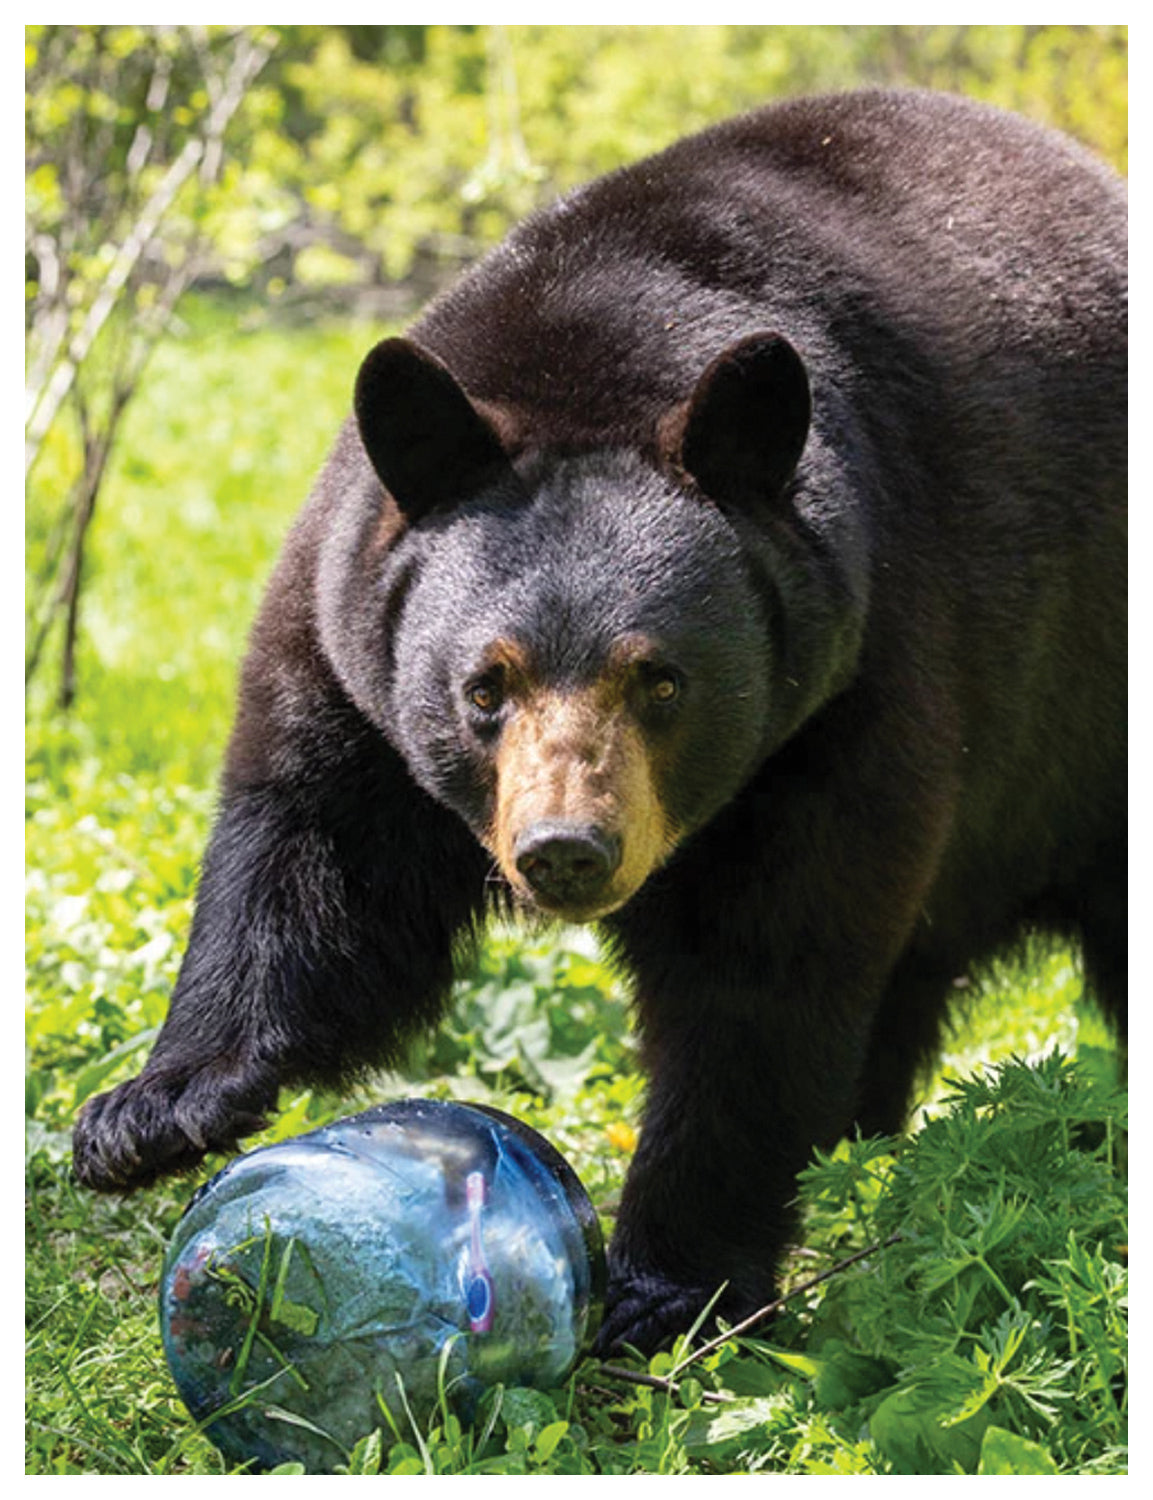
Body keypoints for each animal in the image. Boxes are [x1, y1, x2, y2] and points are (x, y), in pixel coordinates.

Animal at [72, 89, 1127, 1355]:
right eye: (485, 685)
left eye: (659, 681)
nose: (566, 851)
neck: (607, 336)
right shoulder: (346, 644)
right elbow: (316, 865)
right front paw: (151, 1111)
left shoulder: (855, 682)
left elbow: (761, 974)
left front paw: (665, 1283)